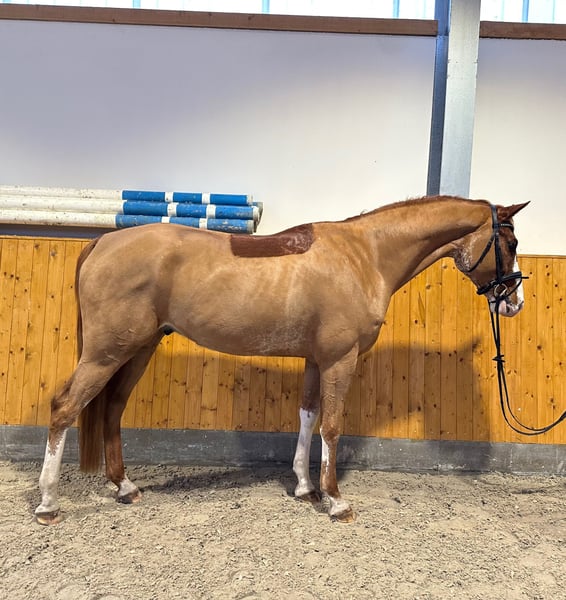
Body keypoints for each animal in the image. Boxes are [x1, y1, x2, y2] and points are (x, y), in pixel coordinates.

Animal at [34, 196, 528, 525]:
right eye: (510, 241)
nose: (514, 303)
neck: (365, 255)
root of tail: (101, 242)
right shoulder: (340, 360)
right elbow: (332, 426)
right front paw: (335, 500)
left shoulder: (316, 360)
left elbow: (308, 418)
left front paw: (305, 488)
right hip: (107, 352)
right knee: (64, 407)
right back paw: (48, 503)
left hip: (138, 348)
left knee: (112, 408)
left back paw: (125, 487)